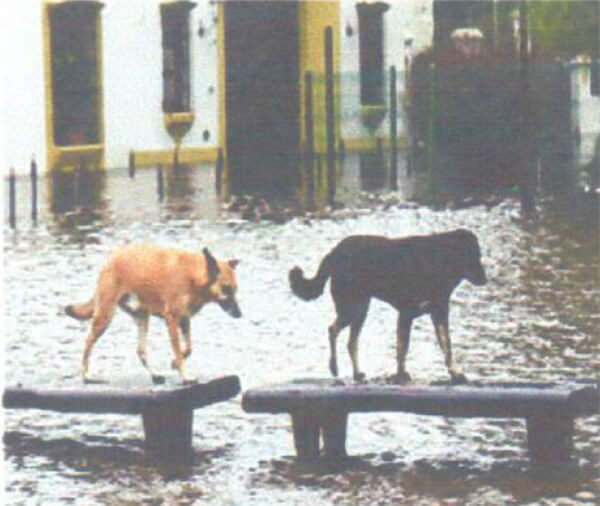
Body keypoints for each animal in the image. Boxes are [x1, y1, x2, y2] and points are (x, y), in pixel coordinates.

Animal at [66, 245, 241, 384]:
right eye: (226, 288)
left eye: (235, 290)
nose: (240, 314)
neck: (193, 276)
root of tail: (111, 259)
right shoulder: (172, 320)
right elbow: (179, 351)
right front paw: (184, 376)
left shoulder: (184, 320)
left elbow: (188, 349)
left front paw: (174, 364)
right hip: (105, 317)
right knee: (88, 343)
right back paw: (86, 376)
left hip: (142, 317)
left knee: (141, 350)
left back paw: (155, 375)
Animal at [290, 229, 488, 384]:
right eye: (472, 255)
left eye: (479, 255)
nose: (485, 279)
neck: (436, 262)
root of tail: (335, 252)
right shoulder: (406, 313)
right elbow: (402, 348)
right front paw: (401, 375)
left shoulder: (439, 314)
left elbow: (447, 346)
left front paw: (455, 373)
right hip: (352, 307)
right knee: (333, 330)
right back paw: (334, 368)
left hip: (361, 309)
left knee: (351, 342)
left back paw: (357, 374)